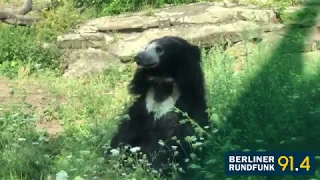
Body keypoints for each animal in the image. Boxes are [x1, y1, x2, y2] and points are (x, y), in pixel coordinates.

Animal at [107, 35, 210, 179]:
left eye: (159, 49)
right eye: (146, 47)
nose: (139, 57)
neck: (162, 84)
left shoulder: (185, 108)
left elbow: (178, 139)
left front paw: (156, 169)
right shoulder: (142, 106)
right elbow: (126, 131)